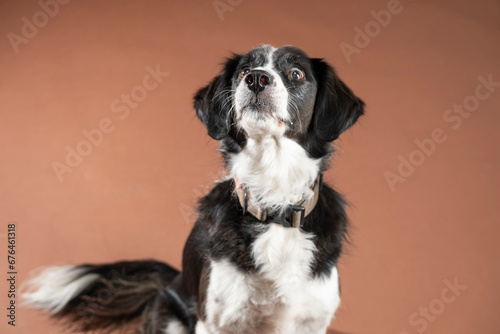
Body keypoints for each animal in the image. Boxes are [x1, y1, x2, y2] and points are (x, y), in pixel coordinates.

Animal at [23, 45, 364, 334]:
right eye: (243, 70)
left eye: (295, 74)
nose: (256, 78)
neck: (273, 204)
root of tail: (170, 280)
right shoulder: (214, 321)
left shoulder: (312, 321)